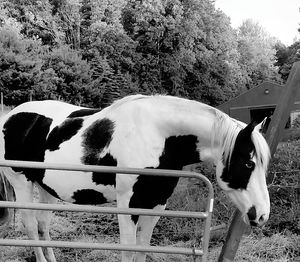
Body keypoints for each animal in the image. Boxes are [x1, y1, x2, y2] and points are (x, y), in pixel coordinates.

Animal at [0, 95, 270, 260]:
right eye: (248, 163)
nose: (262, 215)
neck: (157, 135)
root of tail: (11, 116)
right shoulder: (128, 205)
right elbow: (128, 250)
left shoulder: (157, 204)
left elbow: (142, 249)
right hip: (22, 184)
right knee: (31, 227)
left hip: (45, 187)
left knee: (43, 225)